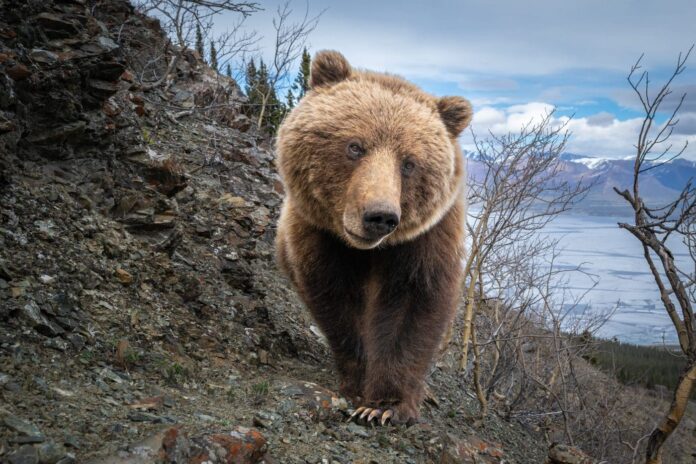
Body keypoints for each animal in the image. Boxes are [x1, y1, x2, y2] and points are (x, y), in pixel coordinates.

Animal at [275, 50, 471, 426]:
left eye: (409, 163)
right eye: (355, 146)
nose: (380, 216)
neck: (366, 251)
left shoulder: (422, 242)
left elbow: (410, 307)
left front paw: (384, 405)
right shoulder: (319, 237)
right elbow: (337, 303)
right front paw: (357, 382)